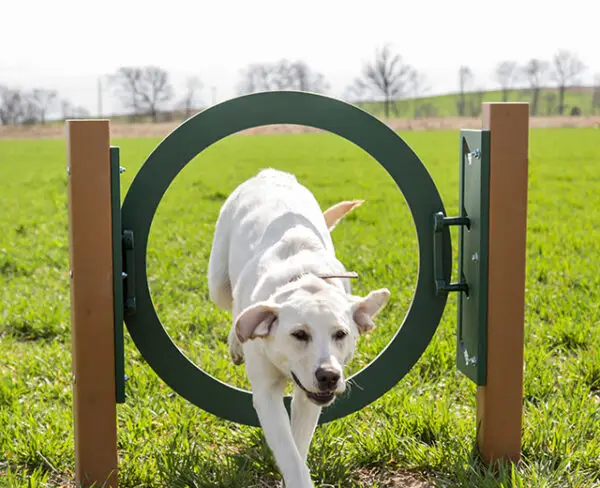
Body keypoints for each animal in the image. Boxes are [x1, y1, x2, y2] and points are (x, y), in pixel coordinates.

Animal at [209, 169, 392, 488]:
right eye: (299, 334)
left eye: (341, 334)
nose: (329, 376)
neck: (304, 279)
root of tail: (271, 172)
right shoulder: (266, 392)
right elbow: (288, 451)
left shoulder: (309, 399)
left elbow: (298, 443)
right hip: (217, 281)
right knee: (233, 307)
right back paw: (236, 339)